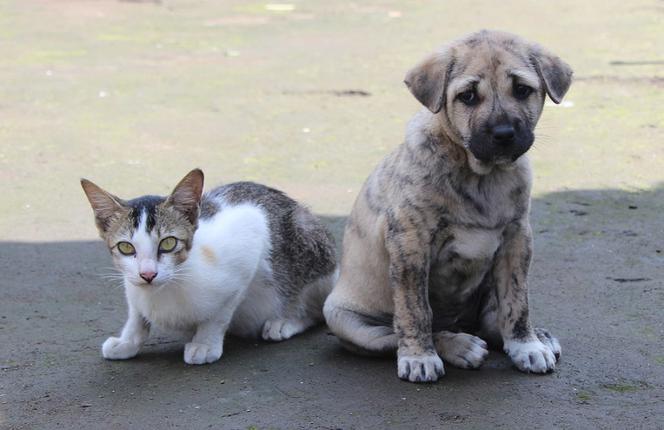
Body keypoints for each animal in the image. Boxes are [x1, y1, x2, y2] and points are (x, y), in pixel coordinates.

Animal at [79, 170, 338, 364]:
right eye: (125, 247)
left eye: (168, 243)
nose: (148, 274)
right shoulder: (132, 285)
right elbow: (136, 314)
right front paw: (127, 341)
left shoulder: (250, 238)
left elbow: (220, 313)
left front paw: (205, 343)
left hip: (311, 247)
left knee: (316, 309)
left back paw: (287, 320)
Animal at [322, 30, 572, 382]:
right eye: (467, 96)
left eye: (522, 90)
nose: (503, 134)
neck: (480, 175)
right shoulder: (410, 244)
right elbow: (415, 310)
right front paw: (419, 357)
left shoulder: (517, 238)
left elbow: (517, 301)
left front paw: (526, 345)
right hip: (346, 319)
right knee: (398, 333)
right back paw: (459, 346)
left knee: (492, 319)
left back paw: (536, 336)